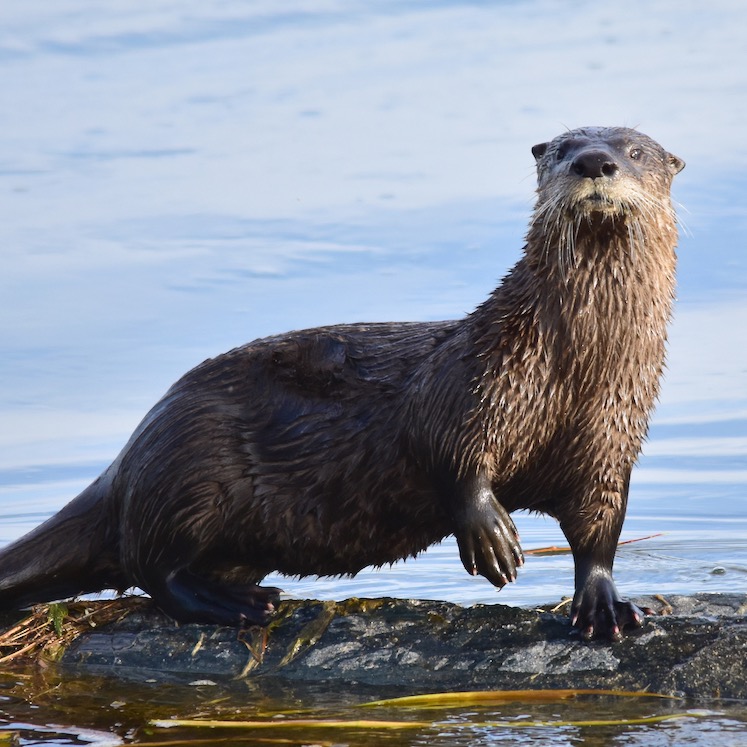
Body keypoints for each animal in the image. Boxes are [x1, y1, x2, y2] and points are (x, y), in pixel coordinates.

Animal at [0, 127, 684, 641]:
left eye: (636, 151)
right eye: (564, 147)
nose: (594, 162)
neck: (572, 370)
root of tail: (127, 459)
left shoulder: (610, 437)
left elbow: (600, 526)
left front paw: (604, 602)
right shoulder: (474, 381)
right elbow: (450, 453)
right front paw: (493, 537)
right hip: (192, 469)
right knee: (152, 567)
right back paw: (236, 605)